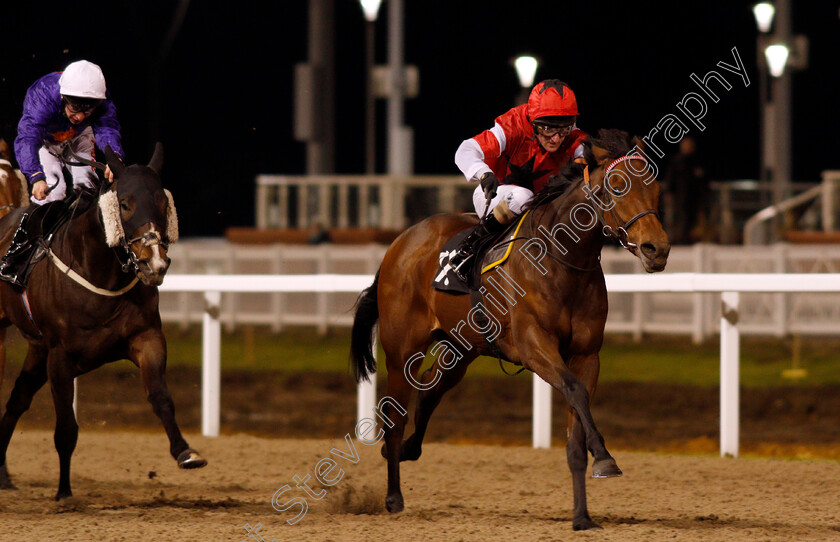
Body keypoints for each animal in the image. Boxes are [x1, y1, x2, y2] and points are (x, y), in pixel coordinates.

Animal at [0, 143, 207, 502]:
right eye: (124, 204)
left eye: (163, 202)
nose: (155, 263)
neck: (101, 273)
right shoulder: (60, 355)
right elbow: (66, 428)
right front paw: (64, 493)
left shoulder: (146, 337)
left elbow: (160, 397)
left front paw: (185, 451)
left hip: (37, 351)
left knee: (17, 400)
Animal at [352, 131, 672, 532]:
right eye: (616, 186)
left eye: (656, 188)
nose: (657, 249)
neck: (560, 258)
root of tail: (399, 242)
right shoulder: (534, 345)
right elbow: (574, 390)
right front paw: (605, 457)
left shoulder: (586, 355)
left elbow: (576, 427)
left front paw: (582, 515)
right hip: (402, 350)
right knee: (395, 413)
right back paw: (394, 496)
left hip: (461, 348)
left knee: (430, 390)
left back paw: (409, 450)